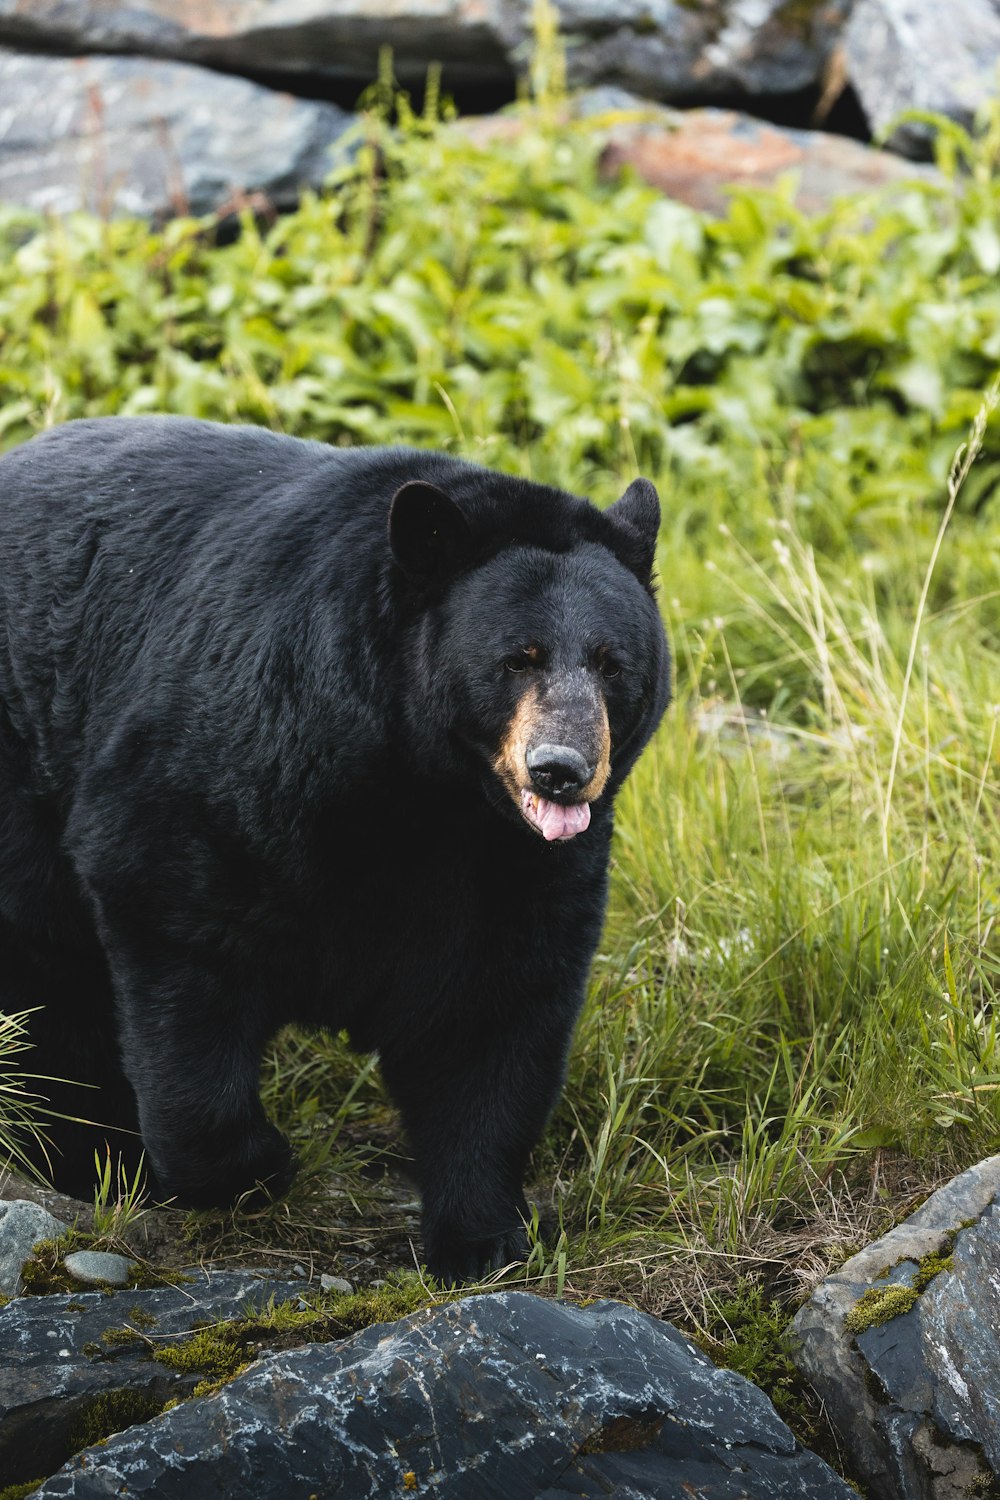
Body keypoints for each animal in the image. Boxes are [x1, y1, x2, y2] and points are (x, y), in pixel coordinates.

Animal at [1, 420, 671, 1278]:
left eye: (612, 664)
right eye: (516, 658)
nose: (561, 769)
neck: (425, 794)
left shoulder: (514, 868)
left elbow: (492, 1012)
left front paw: (483, 1236)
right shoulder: (234, 762)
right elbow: (174, 925)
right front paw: (250, 1166)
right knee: (44, 959)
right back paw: (94, 1155)